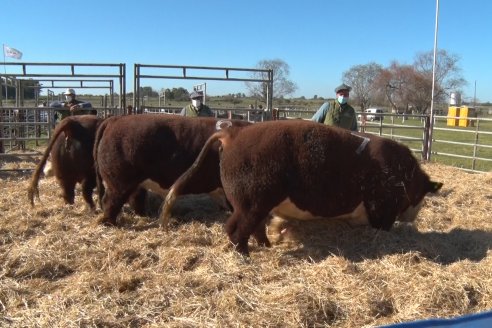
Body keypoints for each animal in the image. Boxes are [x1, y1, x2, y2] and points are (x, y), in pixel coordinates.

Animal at [161, 119, 442, 255]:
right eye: (422, 195)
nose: (413, 216)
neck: (404, 177)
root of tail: (233, 135)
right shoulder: (382, 209)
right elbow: (381, 226)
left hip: (259, 205)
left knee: (255, 229)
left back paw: (266, 246)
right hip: (250, 203)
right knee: (235, 229)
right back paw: (245, 255)